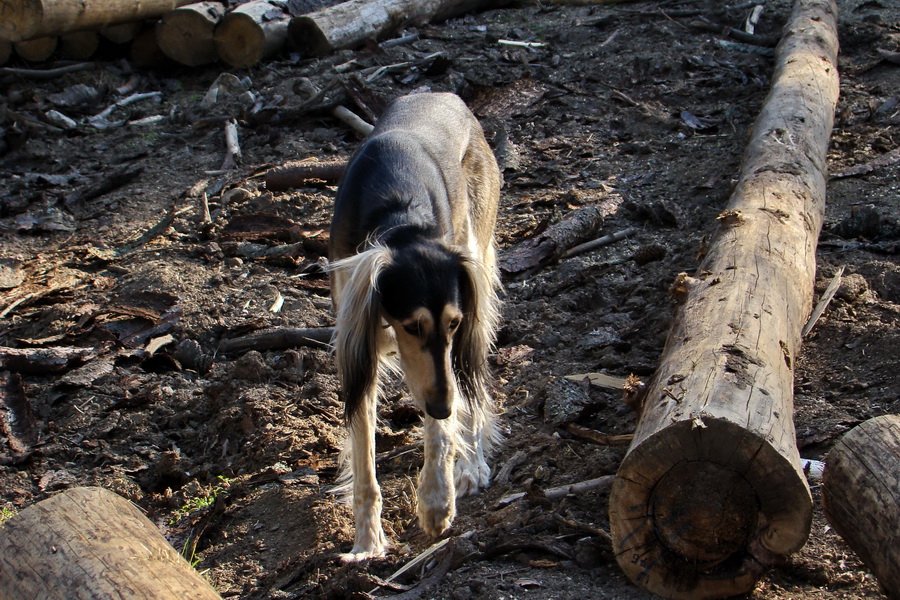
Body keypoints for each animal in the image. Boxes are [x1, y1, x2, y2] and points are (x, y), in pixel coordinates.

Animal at [326, 91, 502, 560]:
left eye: (453, 323)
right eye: (411, 326)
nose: (441, 406)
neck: (399, 217)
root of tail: (445, 94)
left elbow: (440, 433)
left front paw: (437, 502)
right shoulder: (359, 344)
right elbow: (364, 459)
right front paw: (367, 541)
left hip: (477, 249)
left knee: (473, 387)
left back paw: (471, 463)